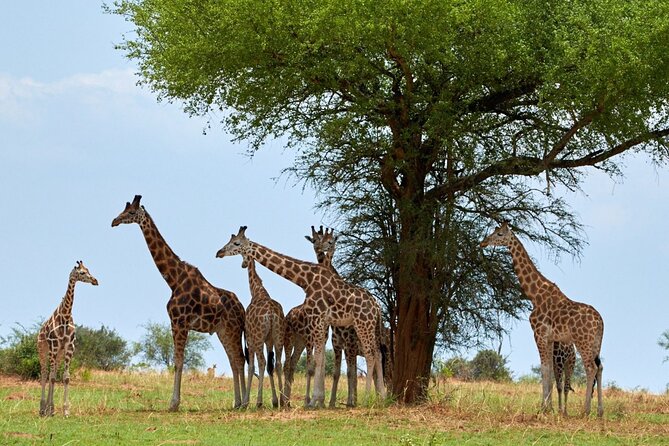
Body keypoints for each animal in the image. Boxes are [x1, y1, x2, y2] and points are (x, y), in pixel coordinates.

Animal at [38, 260, 98, 417]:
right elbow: (52, 377)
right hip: (43, 350)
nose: (95, 281)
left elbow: (65, 377)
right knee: (44, 374)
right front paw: (51, 409)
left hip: (58, 354)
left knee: (50, 373)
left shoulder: (69, 346)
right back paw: (42, 409)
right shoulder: (54, 345)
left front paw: (65, 410)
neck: (65, 315)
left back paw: (49, 409)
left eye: (88, 270)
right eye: (82, 272)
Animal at [112, 195, 246, 411]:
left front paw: (173, 404)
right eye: (123, 208)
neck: (173, 280)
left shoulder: (179, 322)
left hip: (233, 329)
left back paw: (245, 402)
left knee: (239, 360)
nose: (114, 221)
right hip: (223, 330)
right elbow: (179, 361)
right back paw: (238, 402)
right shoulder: (177, 323)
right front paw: (174, 402)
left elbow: (178, 361)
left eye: (131, 212)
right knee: (234, 361)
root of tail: (242, 309)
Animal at [241, 257, 285, 408]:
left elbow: (251, 367)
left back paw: (259, 402)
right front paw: (274, 400)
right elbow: (270, 367)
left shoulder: (250, 339)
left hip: (258, 338)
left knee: (262, 362)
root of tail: (271, 313)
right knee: (278, 363)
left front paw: (246, 402)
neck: (257, 291)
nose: (243, 265)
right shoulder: (269, 340)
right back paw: (283, 401)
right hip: (278, 337)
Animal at [305, 226, 392, 408]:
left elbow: (351, 374)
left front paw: (351, 402)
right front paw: (332, 402)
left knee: (383, 370)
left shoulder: (349, 345)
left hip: (383, 350)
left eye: (330, 241)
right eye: (315, 239)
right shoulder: (338, 345)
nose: (320, 250)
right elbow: (338, 372)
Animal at [480, 221, 604, 417]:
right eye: (494, 230)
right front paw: (549, 407)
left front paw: (544, 408)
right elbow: (550, 373)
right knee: (600, 367)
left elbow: (544, 370)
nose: (483, 243)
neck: (534, 295)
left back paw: (585, 411)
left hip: (583, 341)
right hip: (595, 343)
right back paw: (599, 411)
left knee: (590, 368)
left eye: (499, 234)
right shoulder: (551, 338)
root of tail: (601, 322)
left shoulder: (539, 334)